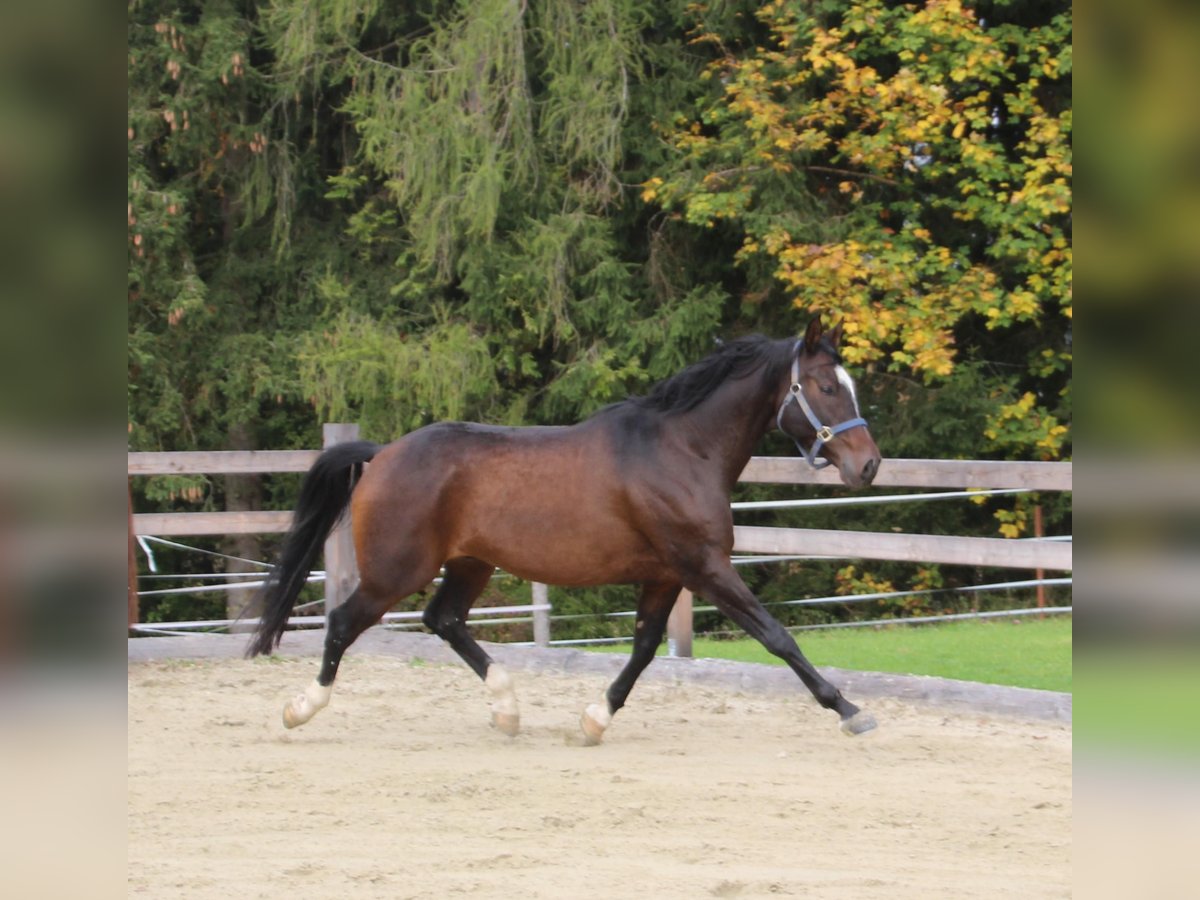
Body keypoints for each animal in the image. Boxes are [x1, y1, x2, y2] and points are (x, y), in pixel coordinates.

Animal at [248, 321, 883, 744]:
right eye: (827, 388)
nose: (869, 465)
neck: (680, 449)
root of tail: (382, 455)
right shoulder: (705, 567)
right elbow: (778, 637)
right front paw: (851, 710)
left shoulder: (666, 574)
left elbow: (644, 648)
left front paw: (594, 720)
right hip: (396, 571)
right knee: (342, 623)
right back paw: (300, 709)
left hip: (470, 563)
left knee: (442, 620)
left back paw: (507, 710)